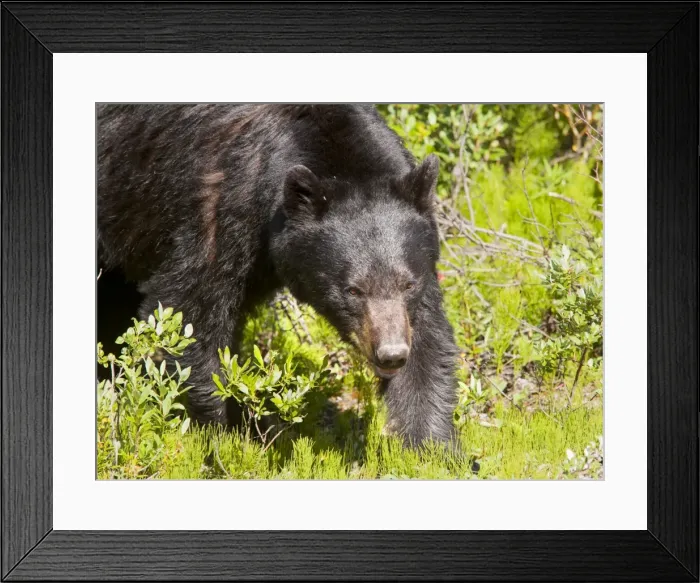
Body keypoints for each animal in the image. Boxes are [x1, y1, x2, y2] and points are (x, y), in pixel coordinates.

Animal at [97, 104, 459, 447]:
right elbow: (187, 311)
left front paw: (428, 448)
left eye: (407, 284)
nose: (392, 354)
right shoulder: (219, 206)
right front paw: (224, 431)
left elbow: (428, 340)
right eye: (353, 290)